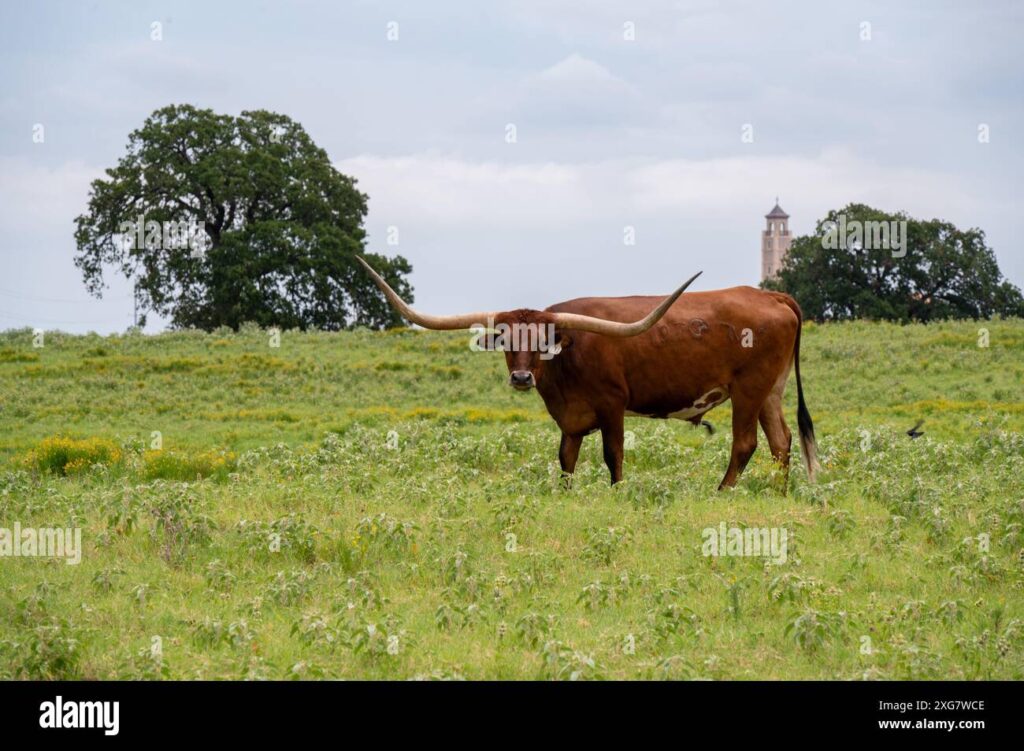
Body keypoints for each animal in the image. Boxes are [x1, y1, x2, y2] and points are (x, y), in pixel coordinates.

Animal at [356, 258, 819, 491]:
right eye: (504, 337)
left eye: (542, 338)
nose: (521, 379)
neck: (566, 360)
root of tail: (772, 295)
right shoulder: (571, 419)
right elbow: (566, 460)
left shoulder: (612, 406)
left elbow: (613, 457)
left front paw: (617, 494)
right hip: (770, 389)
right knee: (781, 442)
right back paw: (778, 493)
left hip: (748, 387)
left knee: (746, 443)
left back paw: (722, 492)